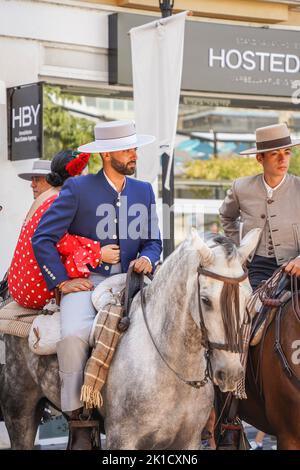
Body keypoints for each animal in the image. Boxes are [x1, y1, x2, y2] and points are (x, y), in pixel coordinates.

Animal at [0, 229, 260, 450]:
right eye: (205, 300)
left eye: (248, 298)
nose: (231, 373)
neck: (169, 367)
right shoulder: (123, 439)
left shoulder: (189, 441)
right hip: (19, 409)